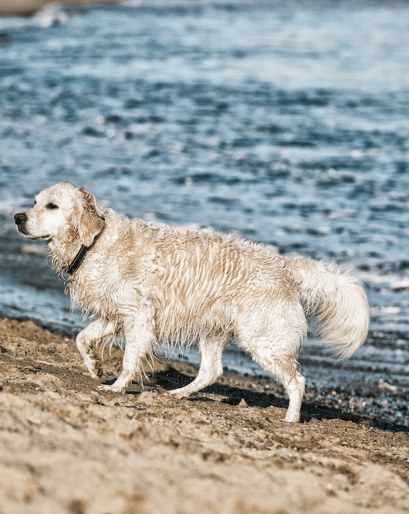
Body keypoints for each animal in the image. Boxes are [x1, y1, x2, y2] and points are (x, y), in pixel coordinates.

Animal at [14, 181, 370, 420]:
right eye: (35, 201)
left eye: (52, 206)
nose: (18, 217)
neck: (94, 242)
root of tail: (283, 267)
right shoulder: (116, 314)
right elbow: (80, 337)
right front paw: (93, 364)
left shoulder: (139, 316)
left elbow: (129, 359)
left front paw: (117, 387)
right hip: (213, 329)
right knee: (212, 371)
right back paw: (179, 394)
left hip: (263, 339)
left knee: (297, 381)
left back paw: (291, 419)